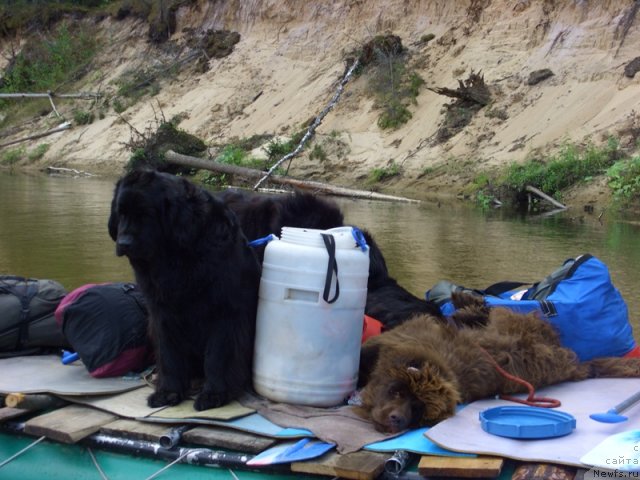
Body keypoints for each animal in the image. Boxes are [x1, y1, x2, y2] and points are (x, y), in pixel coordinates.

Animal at [109, 171, 262, 410]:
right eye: (121, 213)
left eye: (147, 214)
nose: (124, 243)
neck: (176, 257)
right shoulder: (163, 314)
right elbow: (169, 355)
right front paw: (168, 392)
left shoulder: (226, 313)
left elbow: (219, 356)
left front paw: (215, 394)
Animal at [358, 290, 640, 434]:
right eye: (398, 392)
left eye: (417, 409)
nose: (398, 419)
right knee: (478, 313)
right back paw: (464, 302)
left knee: (482, 312)